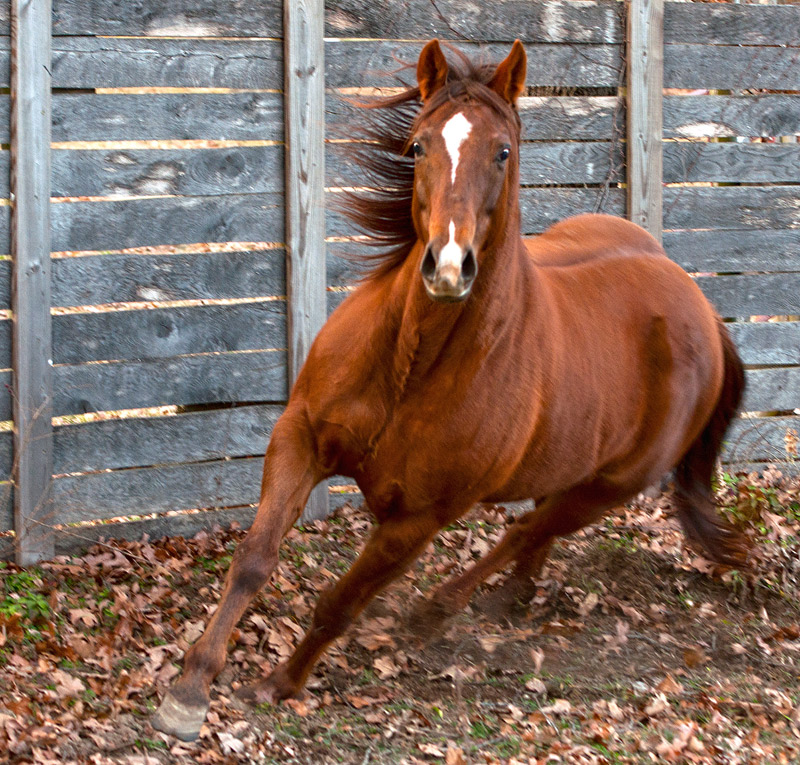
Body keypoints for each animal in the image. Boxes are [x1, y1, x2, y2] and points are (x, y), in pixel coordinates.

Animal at [152, 38, 752, 736]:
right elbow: (254, 558)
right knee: (535, 534)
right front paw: (191, 688)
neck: (410, 367)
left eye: (504, 151)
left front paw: (280, 683)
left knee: (529, 530)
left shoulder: (418, 521)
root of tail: (702, 309)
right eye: (417, 146)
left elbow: (341, 603)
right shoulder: (300, 437)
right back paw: (511, 598)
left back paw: (436, 611)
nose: (446, 265)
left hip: (609, 488)